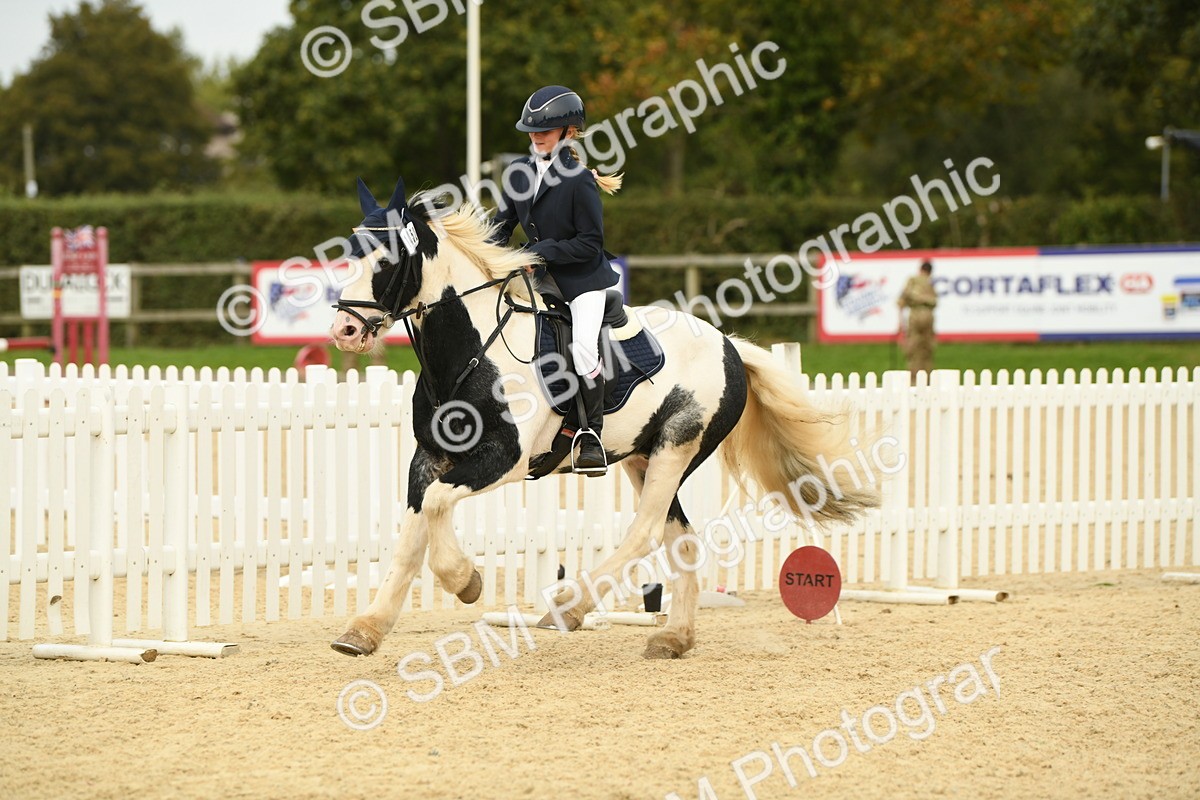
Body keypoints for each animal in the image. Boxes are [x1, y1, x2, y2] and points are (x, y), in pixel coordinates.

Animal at [327, 177, 877, 659]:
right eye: (347, 254)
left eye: (388, 258)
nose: (345, 330)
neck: (469, 354)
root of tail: (730, 347)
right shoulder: (431, 456)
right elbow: (413, 532)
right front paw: (365, 630)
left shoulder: (504, 459)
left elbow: (439, 505)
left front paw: (466, 581)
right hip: (641, 457)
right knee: (680, 540)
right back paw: (673, 638)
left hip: (677, 445)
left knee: (646, 531)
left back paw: (570, 606)